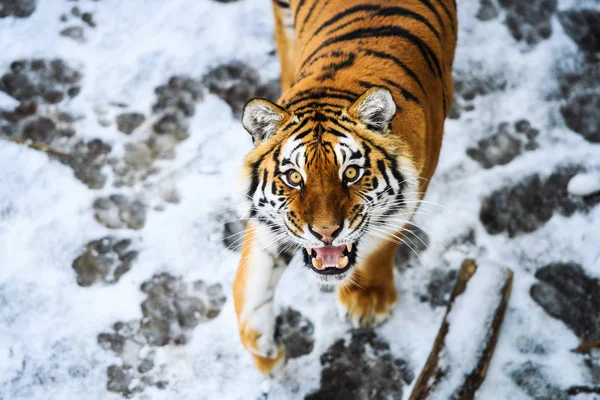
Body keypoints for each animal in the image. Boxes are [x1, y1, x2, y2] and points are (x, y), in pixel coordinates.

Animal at [233, 0, 454, 376]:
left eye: (350, 172)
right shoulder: (269, 220)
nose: (325, 233)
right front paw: (265, 351)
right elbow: (250, 284)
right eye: (294, 177)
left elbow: (381, 245)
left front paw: (366, 302)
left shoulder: (413, 192)